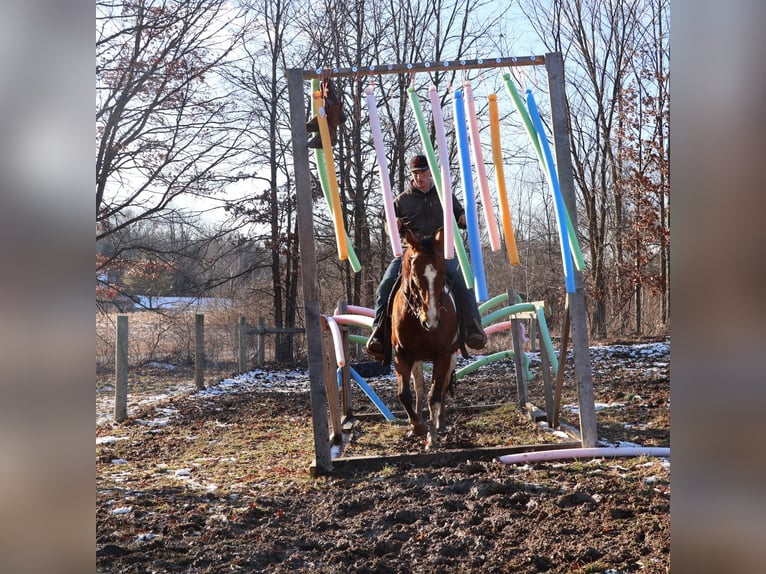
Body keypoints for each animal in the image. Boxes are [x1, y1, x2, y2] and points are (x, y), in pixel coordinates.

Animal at [391, 228, 461, 449]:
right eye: (414, 274)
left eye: (443, 273)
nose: (432, 320)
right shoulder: (402, 355)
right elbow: (405, 394)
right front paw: (419, 427)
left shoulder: (444, 355)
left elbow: (435, 395)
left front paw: (433, 437)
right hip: (417, 359)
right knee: (419, 388)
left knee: (442, 388)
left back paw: (440, 423)